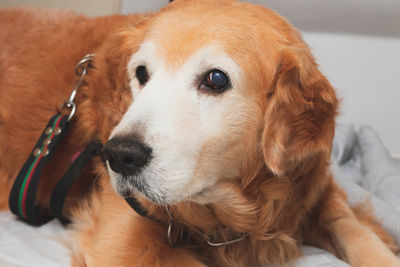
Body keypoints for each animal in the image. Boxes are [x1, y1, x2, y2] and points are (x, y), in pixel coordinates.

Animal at [0, 0, 400, 266]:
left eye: (216, 80)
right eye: (141, 73)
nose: (119, 156)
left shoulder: (315, 191)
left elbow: (356, 230)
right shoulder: (123, 238)